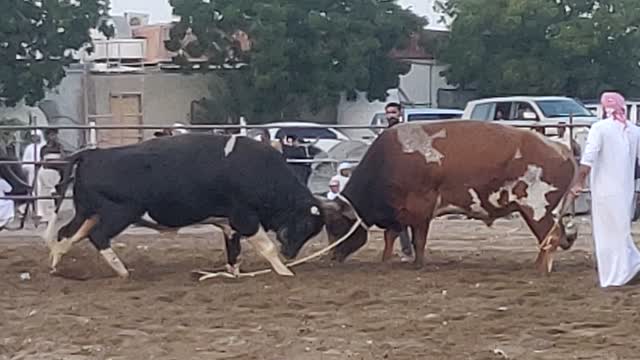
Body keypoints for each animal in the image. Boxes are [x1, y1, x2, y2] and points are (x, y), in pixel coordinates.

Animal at [44, 135, 324, 278]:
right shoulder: (245, 218)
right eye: (304, 226)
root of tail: (93, 154)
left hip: (88, 212)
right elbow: (266, 247)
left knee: (67, 234)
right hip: (119, 213)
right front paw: (284, 271)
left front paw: (234, 273)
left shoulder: (229, 224)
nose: (291, 254)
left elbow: (233, 252)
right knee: (98, 236)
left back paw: (56, 266)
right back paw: (122, 271)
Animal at [322, 119, 576, 272]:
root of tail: (560, 149)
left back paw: (540, 269)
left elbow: (418, 239)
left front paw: (418, 263)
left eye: (336, 225)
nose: (331, 257)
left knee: (551, 238)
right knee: (555, 236)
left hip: (537, 209)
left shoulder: (421, 209)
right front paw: (386, 261)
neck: (389, 161)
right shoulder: (397, 213)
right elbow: (390, 237)